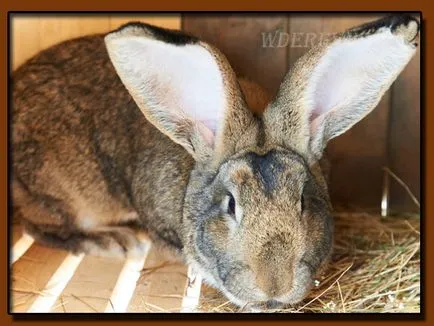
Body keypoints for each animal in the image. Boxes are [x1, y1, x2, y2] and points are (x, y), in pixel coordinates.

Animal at [11, 14, 420, 308]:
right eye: (231, 205)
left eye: (303, 201)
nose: (274, 285)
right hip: (61, 193)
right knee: (39, 225)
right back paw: (114, 241)